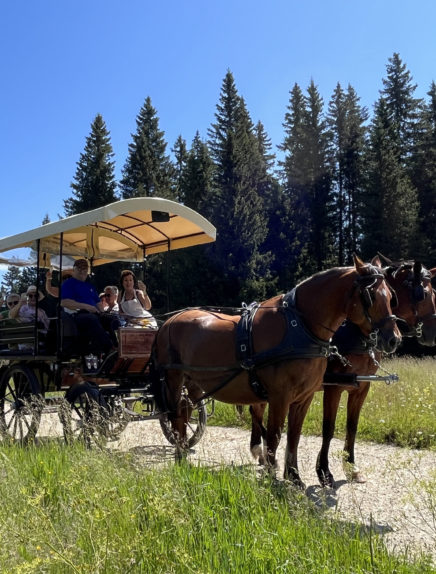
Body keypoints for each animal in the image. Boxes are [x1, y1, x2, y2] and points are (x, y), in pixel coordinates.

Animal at [154, 256, 402, 486]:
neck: (300, 327)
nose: (394, 339)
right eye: (370, 296)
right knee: (176, 416)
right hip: (174, 378)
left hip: (193, 382)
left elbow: (294, 435)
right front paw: (273, 478)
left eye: (391, 297)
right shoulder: (282, 396)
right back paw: (181, 458)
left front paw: (294, 476)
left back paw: (183, 453)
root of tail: (169, 320)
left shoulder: (306, 397)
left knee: (185, 412)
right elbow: (276, 436)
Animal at [249, 260, 436, 490]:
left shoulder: (361, 387)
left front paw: (351, 468)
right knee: (256, 410)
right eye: (423, 294)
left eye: (391, 297)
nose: (432, 335)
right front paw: (324, 472)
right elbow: (328, 428)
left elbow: (351, 426)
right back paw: (260, 452)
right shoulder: (334, 387)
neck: (356, 334)